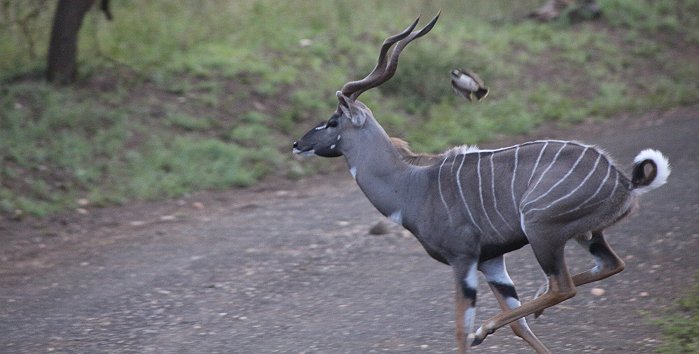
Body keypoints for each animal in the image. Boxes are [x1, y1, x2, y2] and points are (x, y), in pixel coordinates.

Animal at [292, 13, 672, 352]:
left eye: (332, 121)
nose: (297, 144)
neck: (412, 184)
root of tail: (624, 181)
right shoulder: (490, 261)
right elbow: (520, 326)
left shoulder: (463, 258)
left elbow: (462, 331)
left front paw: (477, 333)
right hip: (585, 234)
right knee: (608, 265)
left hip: (542, 230)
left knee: (562, 286)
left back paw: (490, 326)